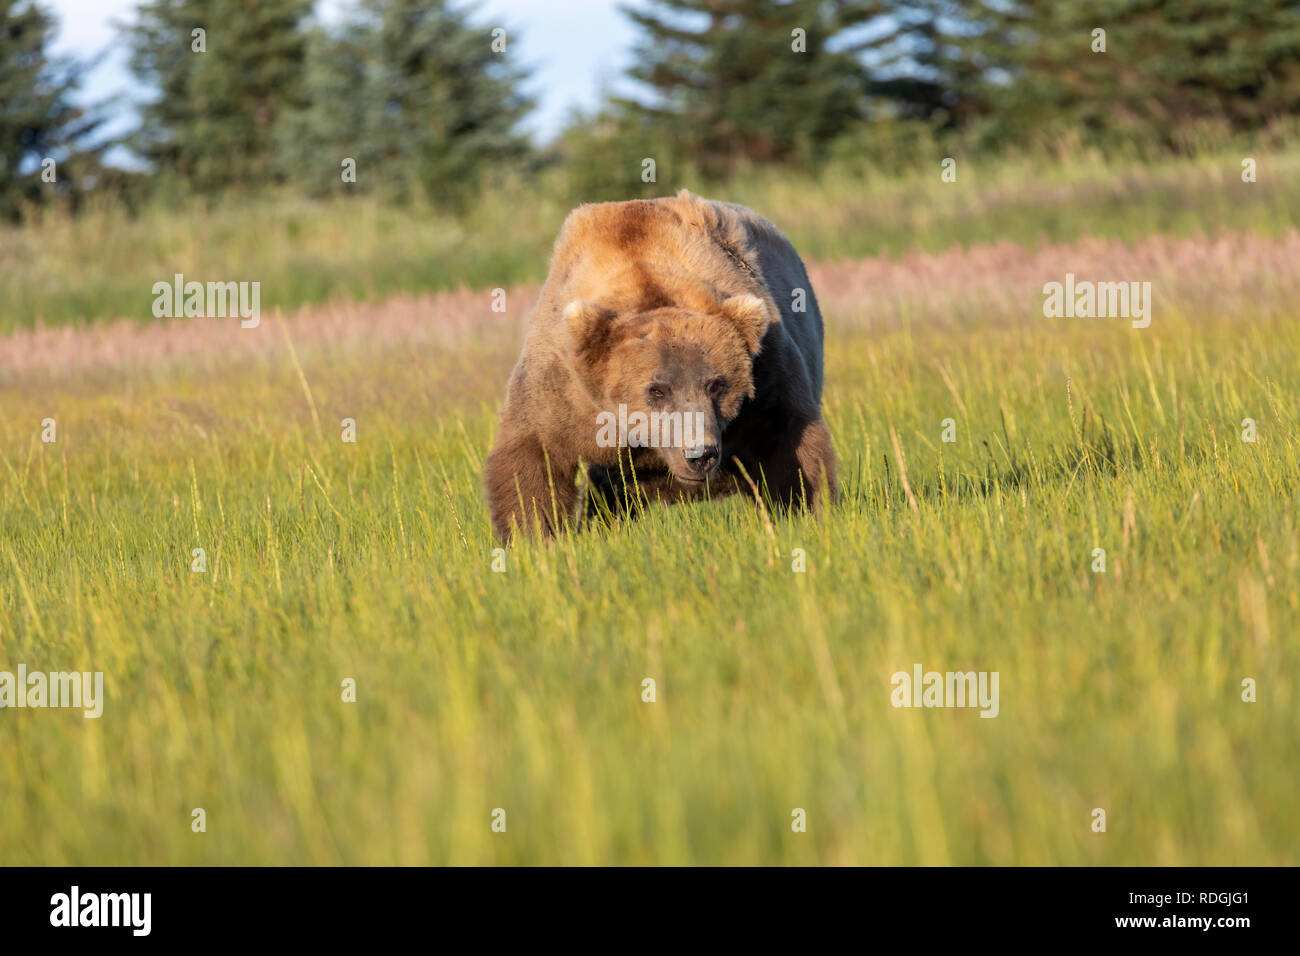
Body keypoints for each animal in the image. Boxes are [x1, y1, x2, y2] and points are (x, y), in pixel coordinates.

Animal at [486, 191, 832, 541]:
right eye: (656, 390)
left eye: (717, 385)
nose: (699, 455)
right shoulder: (564, 387)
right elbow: (531, 456)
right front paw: (534, 538)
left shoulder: (765, 376)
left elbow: (789, 442)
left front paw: (804, 515)